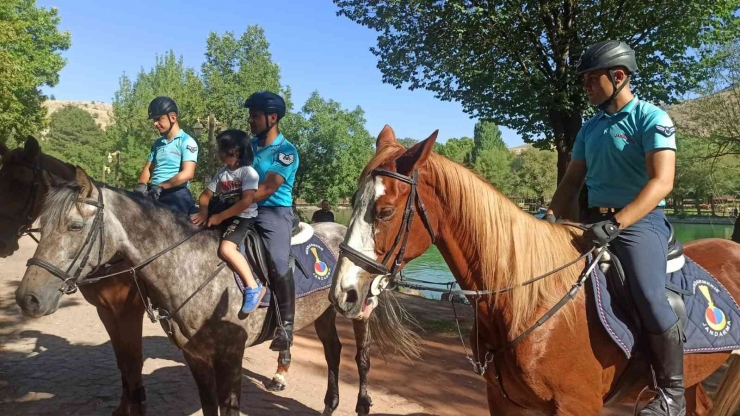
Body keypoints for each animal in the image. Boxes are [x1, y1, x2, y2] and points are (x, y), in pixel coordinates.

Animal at [332, 125, 740, 414]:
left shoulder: (577, 407)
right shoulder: (503, 402)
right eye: (352, 201)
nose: (343, 293)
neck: (527, 300)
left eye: (384, 211)